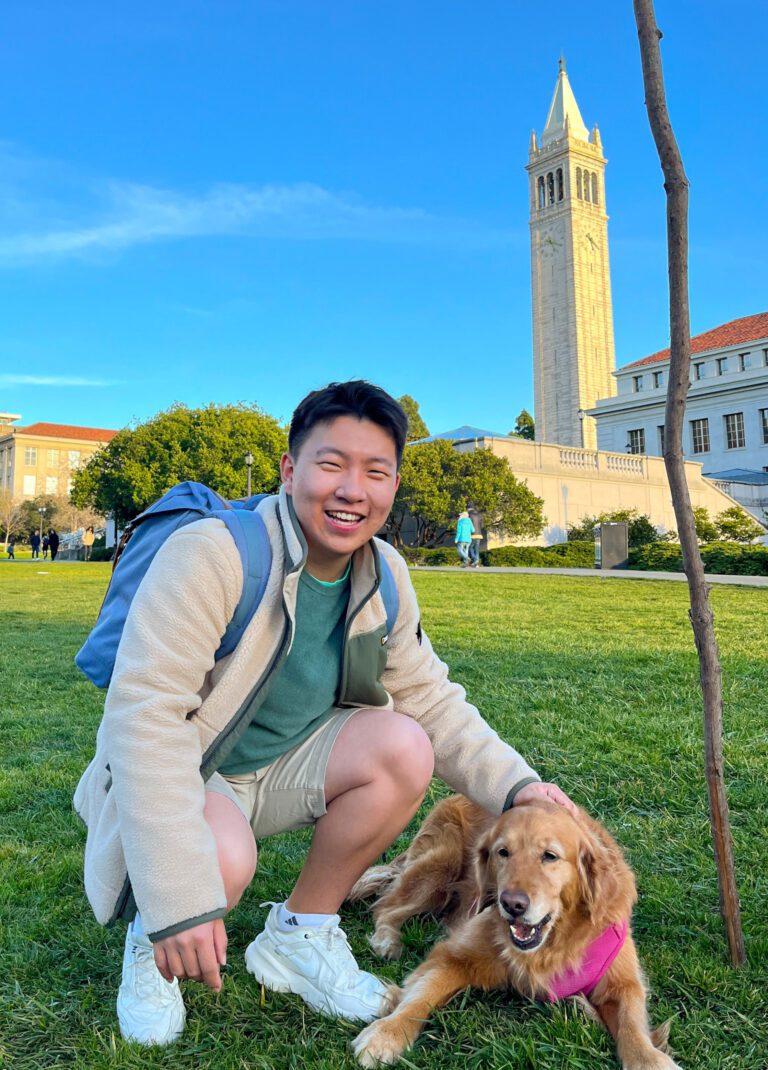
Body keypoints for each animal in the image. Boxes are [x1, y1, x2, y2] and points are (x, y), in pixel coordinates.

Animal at [348, 800, 680, 1065]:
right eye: (503, 852)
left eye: (549, 855)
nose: (512, 904)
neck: (552, 944)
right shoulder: (456, 955)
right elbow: (421, 995)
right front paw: (387, 1033)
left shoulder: (622, 981)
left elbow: (631, 1024)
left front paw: (649, 1060)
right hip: (438, 869)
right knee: (386, 907)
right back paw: (387, 939)